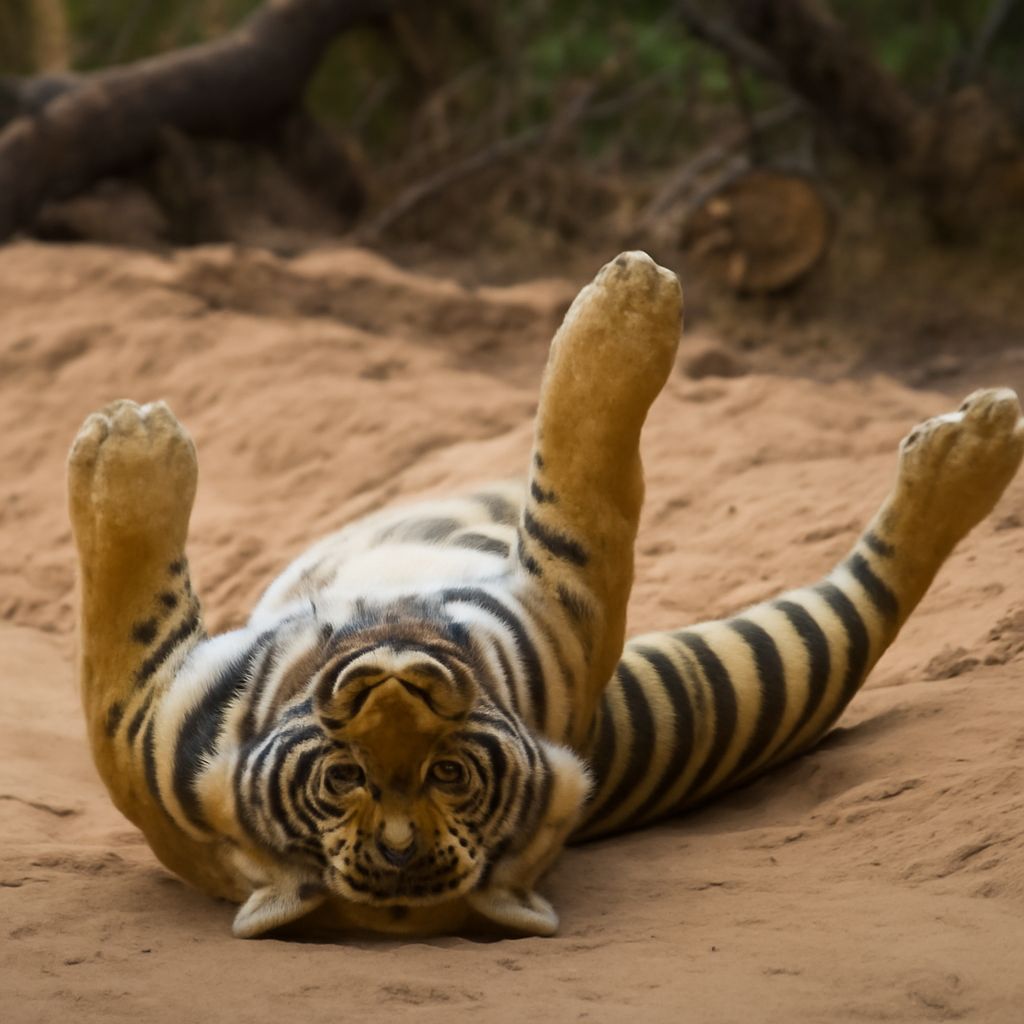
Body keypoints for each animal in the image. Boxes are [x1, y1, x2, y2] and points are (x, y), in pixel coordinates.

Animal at [67, 251, 1024, 940]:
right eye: (346, 781)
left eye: (449, 776)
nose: (392, 687)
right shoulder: (129, 718)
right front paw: (129, 439)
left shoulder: (570, 600)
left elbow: (585, 471)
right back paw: (979, 439)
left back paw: (975, 436)